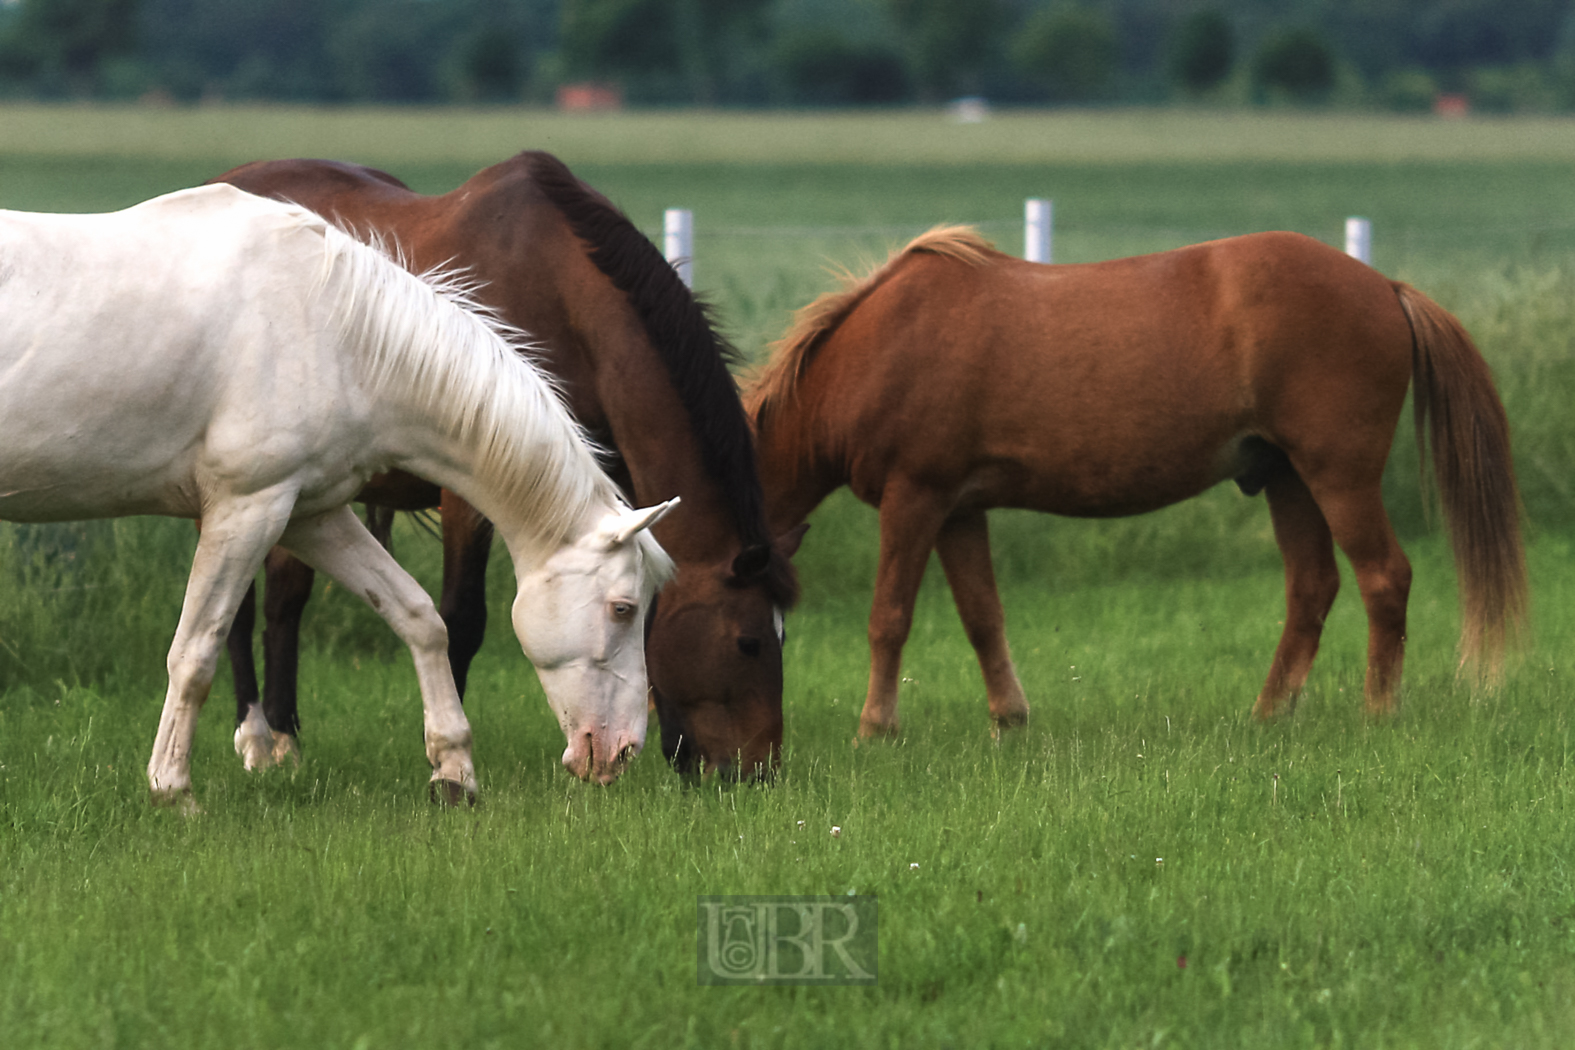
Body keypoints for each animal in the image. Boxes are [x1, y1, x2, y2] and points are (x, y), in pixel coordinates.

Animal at [0, 186, 677, 812]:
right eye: (623, 609)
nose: (621, 752)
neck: (336, 332)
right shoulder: (248, 508)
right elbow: (194, 654)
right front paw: (174, 792)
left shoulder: (310, 514)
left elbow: (418, 617)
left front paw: (453, 772)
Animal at [209, 147, 800, 777]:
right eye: (748, 642)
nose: (760, 770)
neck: (563, 301)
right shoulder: (470, 494)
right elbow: (462, 618)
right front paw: (447, 752)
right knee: (242, 608)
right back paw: (256, 733)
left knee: (284, 600)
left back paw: (286, 734)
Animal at [749, 228, 1524, 739]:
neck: (877, 349)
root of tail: (1386, 288)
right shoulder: (958, 510)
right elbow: (982, 617)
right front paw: (1010, 719)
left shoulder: (914, 498)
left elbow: (889, 617)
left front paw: (873, 728)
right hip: (1287, 479)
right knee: (1311, 589)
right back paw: (1267, 714)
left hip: (1339, 476)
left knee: (1383, 578)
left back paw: (1377, 713)